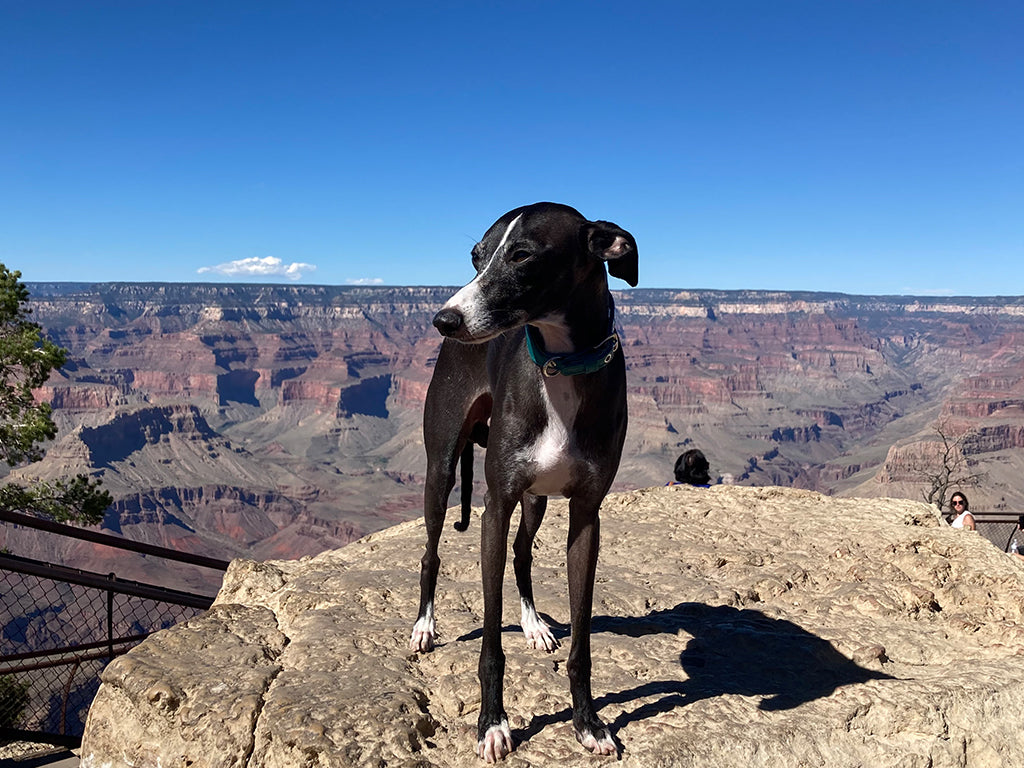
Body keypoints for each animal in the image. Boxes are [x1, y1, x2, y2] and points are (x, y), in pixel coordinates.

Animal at [409, 202, 634, 765]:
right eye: (476, 256)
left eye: (522, 255)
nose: (444, 320)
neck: (559, 367)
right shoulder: (497, 504)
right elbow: (491, 644)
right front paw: (493, 723)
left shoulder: (586, 516)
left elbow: (582, 644)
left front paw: (588, 722)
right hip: (442, 469)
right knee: (431, 553)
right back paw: (424, 626)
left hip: (536, 497)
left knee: (522, 552)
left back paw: (533, 624)